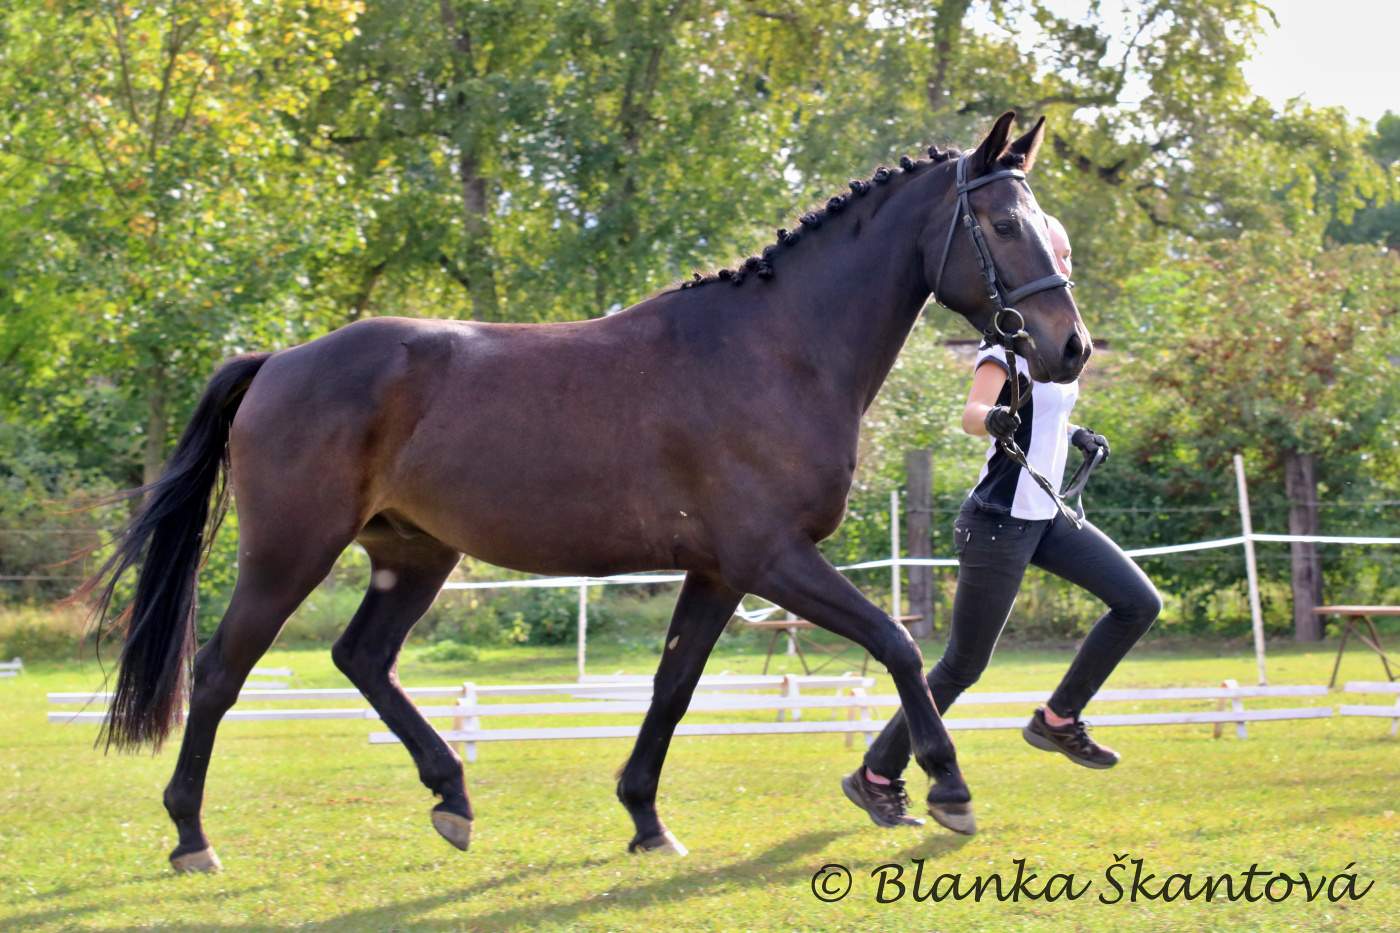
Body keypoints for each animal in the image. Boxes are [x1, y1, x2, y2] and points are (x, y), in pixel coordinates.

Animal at [82, 111, 1090, 872]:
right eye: (1006, 227)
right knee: (220, 671)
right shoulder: (773, 557)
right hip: (290, 552)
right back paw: (191, 836)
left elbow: (673, 688)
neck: (777, 351)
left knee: (362, 657)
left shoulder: (719, 572)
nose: (1071, 347)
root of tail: (280, 360)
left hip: (413, 553)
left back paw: (452, 796)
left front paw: (646, 819)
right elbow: (897, 642)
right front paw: (945, 787)